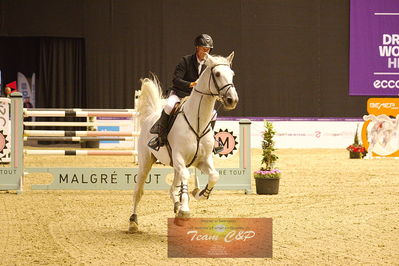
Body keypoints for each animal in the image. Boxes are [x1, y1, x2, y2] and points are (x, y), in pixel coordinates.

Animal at [130, 52, 239, 233]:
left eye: (232, 74)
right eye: (217, 74)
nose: (232, 100)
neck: (198, 121)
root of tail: (150, 117)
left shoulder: (202, 160)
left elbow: (214, 175)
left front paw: (200, 194)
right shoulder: (180, 158)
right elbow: (186, 178)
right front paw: (185, 210)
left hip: (174, 165)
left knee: (172, 187)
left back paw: (176, 206)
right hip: (146, 162)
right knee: (138, 191)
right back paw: (133, 221)